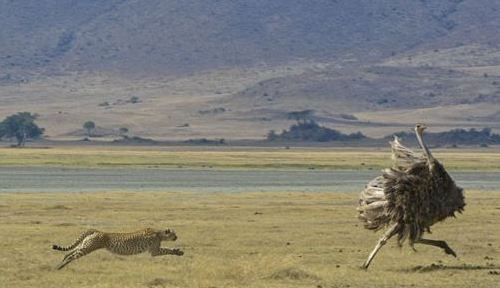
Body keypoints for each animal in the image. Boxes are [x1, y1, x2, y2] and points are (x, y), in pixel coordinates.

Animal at [52, 227, 184, 270]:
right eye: (174, 234)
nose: (177, 237)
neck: (159, 233)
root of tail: (96, 230)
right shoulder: (154, 251)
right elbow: (167, 250)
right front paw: (179, 252)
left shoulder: (155, 250)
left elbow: (167, 248)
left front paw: (178, 250)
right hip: (88, 248)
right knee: (72, 256)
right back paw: (60, 266)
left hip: (85, 244)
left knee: (68, 253)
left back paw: (61, 262)